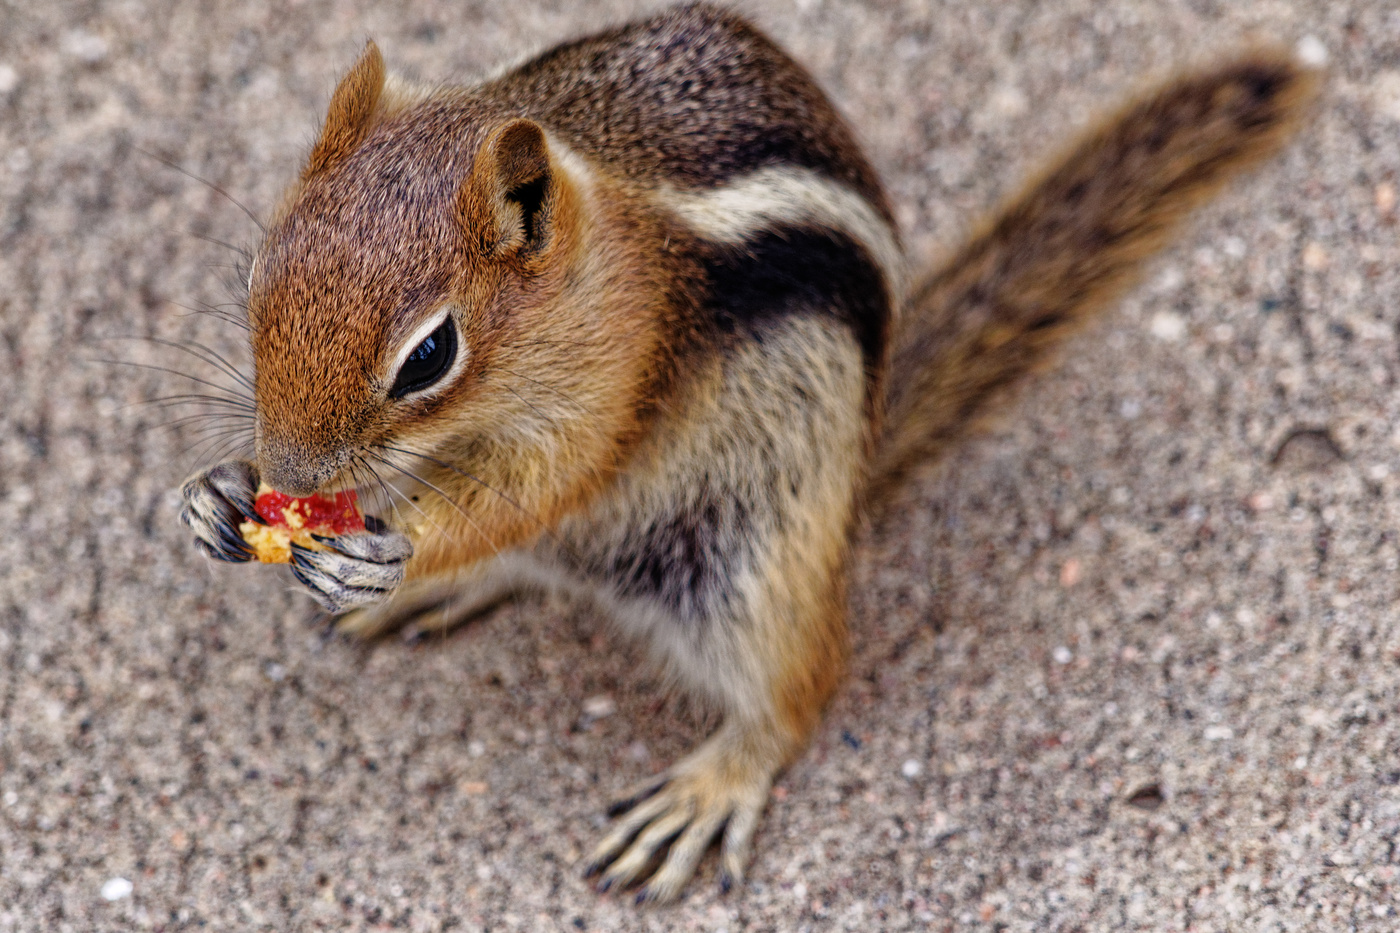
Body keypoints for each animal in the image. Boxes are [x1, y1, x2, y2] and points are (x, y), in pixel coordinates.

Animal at [178, 2, 1319, 904]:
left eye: (429, 355)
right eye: (258, 276)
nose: (294, 477)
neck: (604, 252)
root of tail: (858, 475)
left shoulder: (611, 392)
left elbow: (537, 487)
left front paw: (394, 544)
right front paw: (219, 494)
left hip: (762, 553)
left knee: (798, 686)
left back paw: (706, 785)